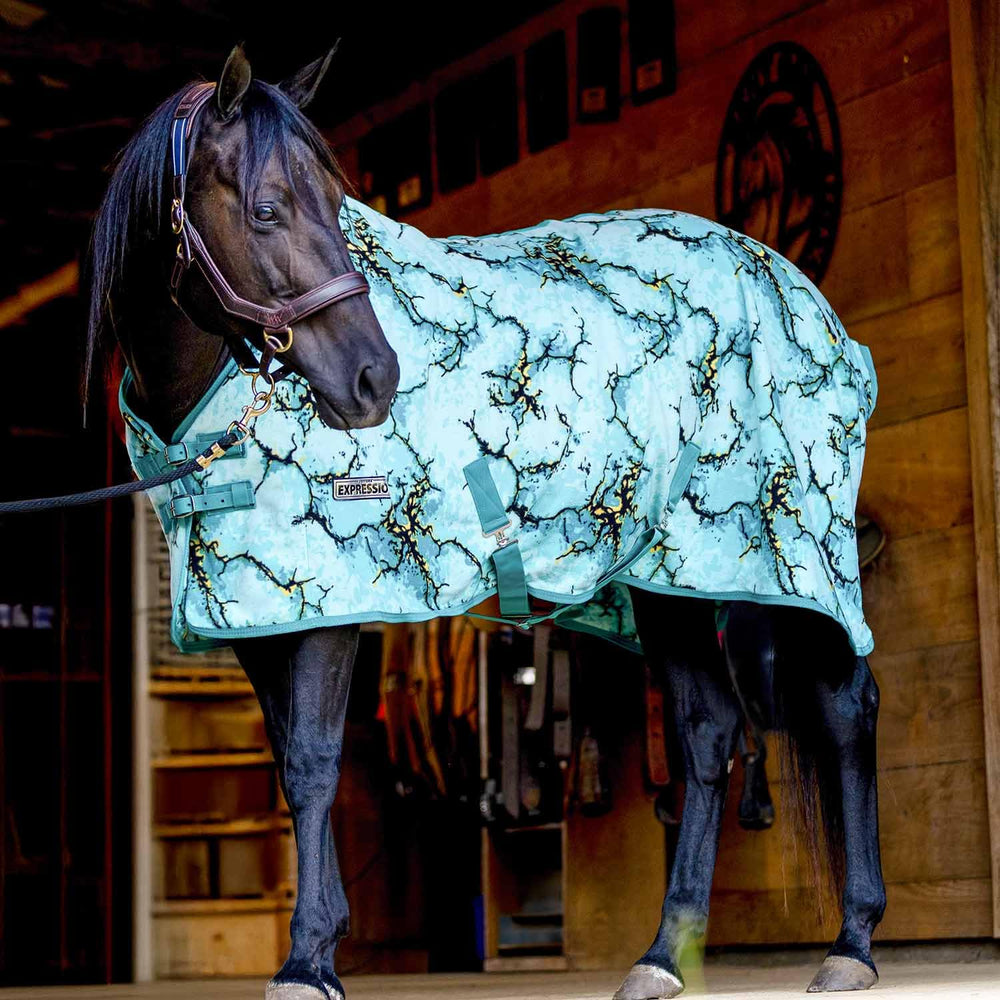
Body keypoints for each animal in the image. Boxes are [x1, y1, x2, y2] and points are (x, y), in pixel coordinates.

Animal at [87, 46, 885, 1000]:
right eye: (267, 209)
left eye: (336, 206)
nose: (373, 379)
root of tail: (808, 302)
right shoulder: (247, 610)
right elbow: (288, 761)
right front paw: (326, 944)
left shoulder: (331, 604)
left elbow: (313, 763)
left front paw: (308, 960)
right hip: (676, 574)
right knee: (705, 734)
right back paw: (663, 957)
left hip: (791, 549)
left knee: (844, 708)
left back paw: (851, 945)